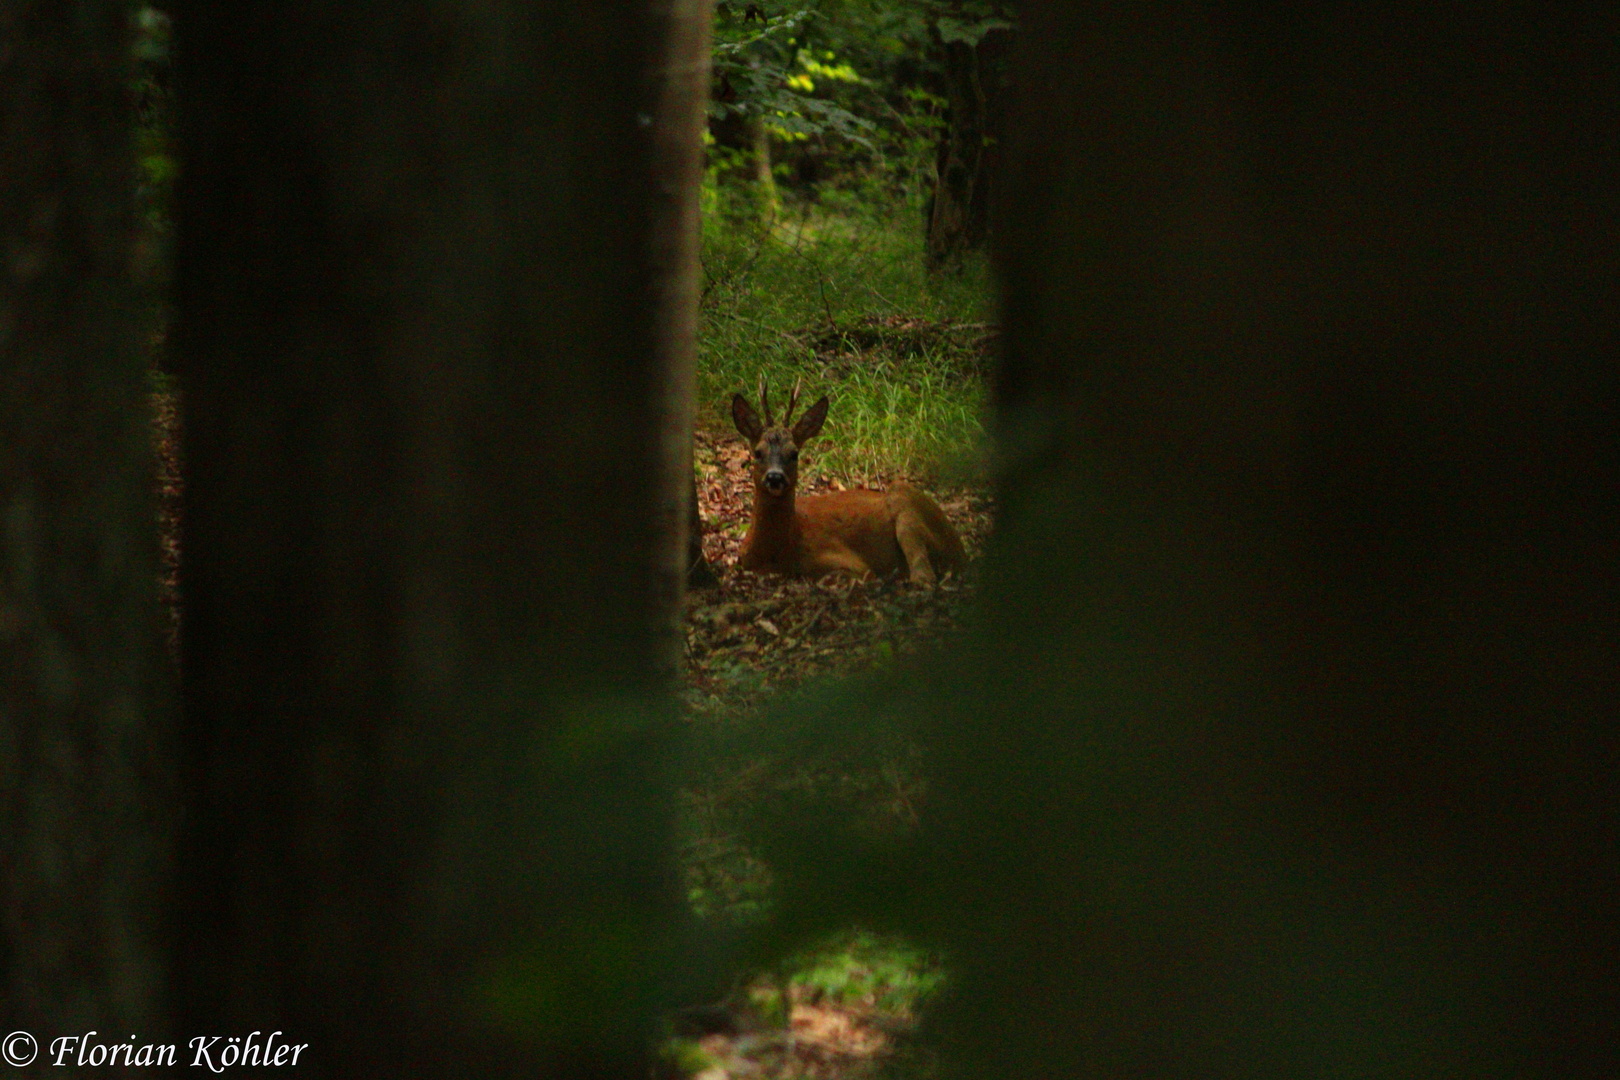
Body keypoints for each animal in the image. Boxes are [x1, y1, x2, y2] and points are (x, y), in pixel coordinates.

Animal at [732, 378, 965, 582]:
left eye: (794, 454)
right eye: (758, 452)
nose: (775, 477)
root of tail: (960, 546)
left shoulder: (847, 561)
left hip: (905, 502)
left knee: (924, 576)